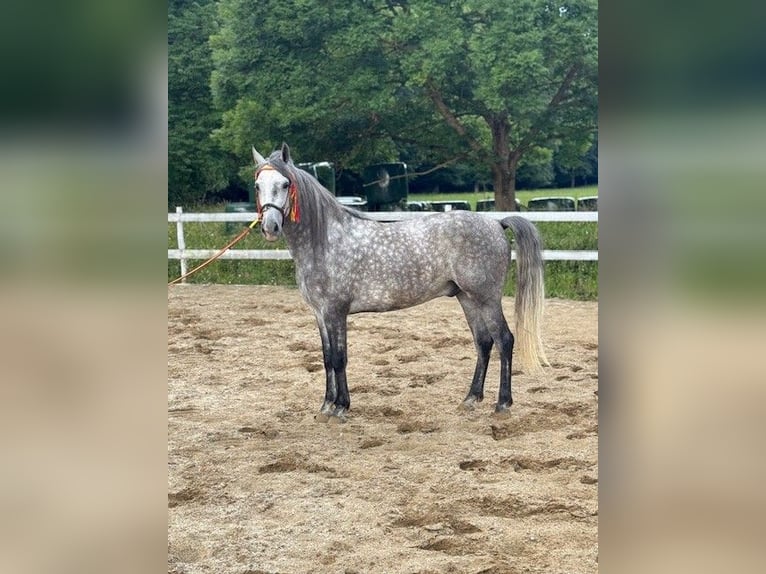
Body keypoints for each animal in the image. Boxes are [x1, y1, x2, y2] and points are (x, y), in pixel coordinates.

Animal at [252, 143, 548, 421]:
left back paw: (503, 404)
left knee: (504, 340)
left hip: (487, 298)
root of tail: (497, 224)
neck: (325, 240)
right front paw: (326, 406)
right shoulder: (320, 314)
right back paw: (471, 398)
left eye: (285, 184)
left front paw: (341, 407)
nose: (270, 227)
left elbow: (339, 358)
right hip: (467, 298)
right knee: (484, 342)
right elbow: (326, 358)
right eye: (257, 186)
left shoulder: (336, 311)